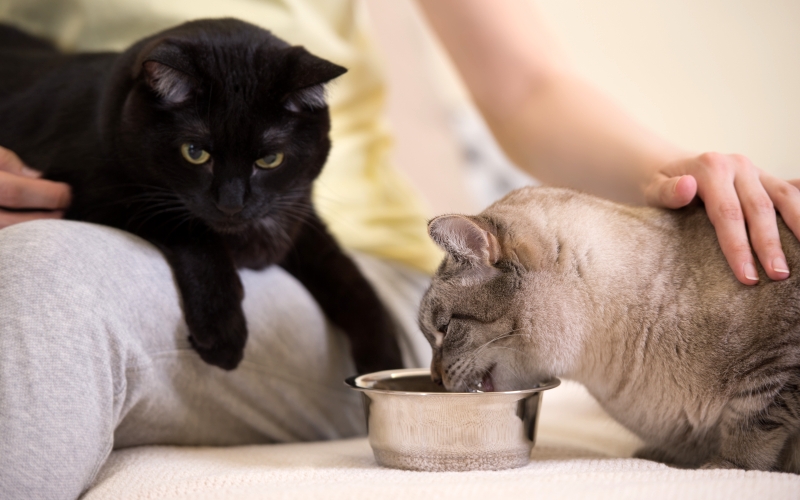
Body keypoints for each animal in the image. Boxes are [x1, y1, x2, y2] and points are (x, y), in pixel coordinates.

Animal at [0, 18, 404, 372]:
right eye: (195, 152)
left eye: (270, 159)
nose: (231, 203)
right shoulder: (93, 196)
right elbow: (193, 229)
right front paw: (222, 329)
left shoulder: (299, 220)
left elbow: (352, 281)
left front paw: (387, 365)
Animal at [418, 186, 800, 470]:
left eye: (444, 329)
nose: (435, 379)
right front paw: (666, 459)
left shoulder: (777, 367)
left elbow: (750, 428)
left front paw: (723, 467)